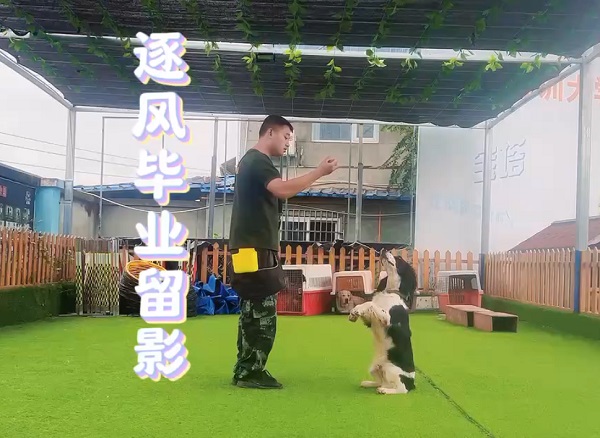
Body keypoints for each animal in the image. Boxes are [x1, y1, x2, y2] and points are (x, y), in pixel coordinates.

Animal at [348, 250, 416, 395]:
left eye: (399, 258)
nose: (384, 250)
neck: (389, 292)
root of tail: (413, 383)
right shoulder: (371, 321)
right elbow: (369, 307)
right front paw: (354, 313)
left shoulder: (387, 319)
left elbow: (370, 304)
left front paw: (356, 310)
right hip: (374, 368)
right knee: (381, 382)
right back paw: (369, 383)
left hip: (391, 369)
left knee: (402, 389)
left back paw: (384, 391)